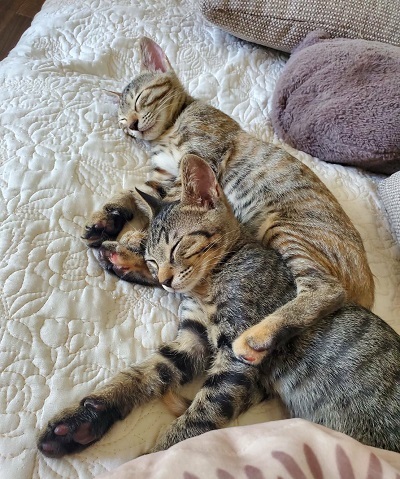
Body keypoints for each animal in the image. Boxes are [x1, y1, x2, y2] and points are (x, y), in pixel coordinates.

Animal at [38, 154, 400, 458]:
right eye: (153, 260)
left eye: (178, 246)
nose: (165, 279)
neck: (205, 286)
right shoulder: (191, 340)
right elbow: (144, 374)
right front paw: (84, 418)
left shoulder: (235, 361)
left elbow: (199, 417)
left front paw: (156, 459)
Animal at [83, 37, 375, 364]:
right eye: (121, 120)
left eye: (140, 99)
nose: (131, 125)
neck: (168, 131)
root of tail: (368, 289)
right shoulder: (161, 177)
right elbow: (134, 193)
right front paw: (105, 220)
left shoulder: (199, 158)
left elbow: (166, 212)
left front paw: (137, 235)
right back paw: (122, 260)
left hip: (286, 230)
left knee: (327, 290)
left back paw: (255, 339)